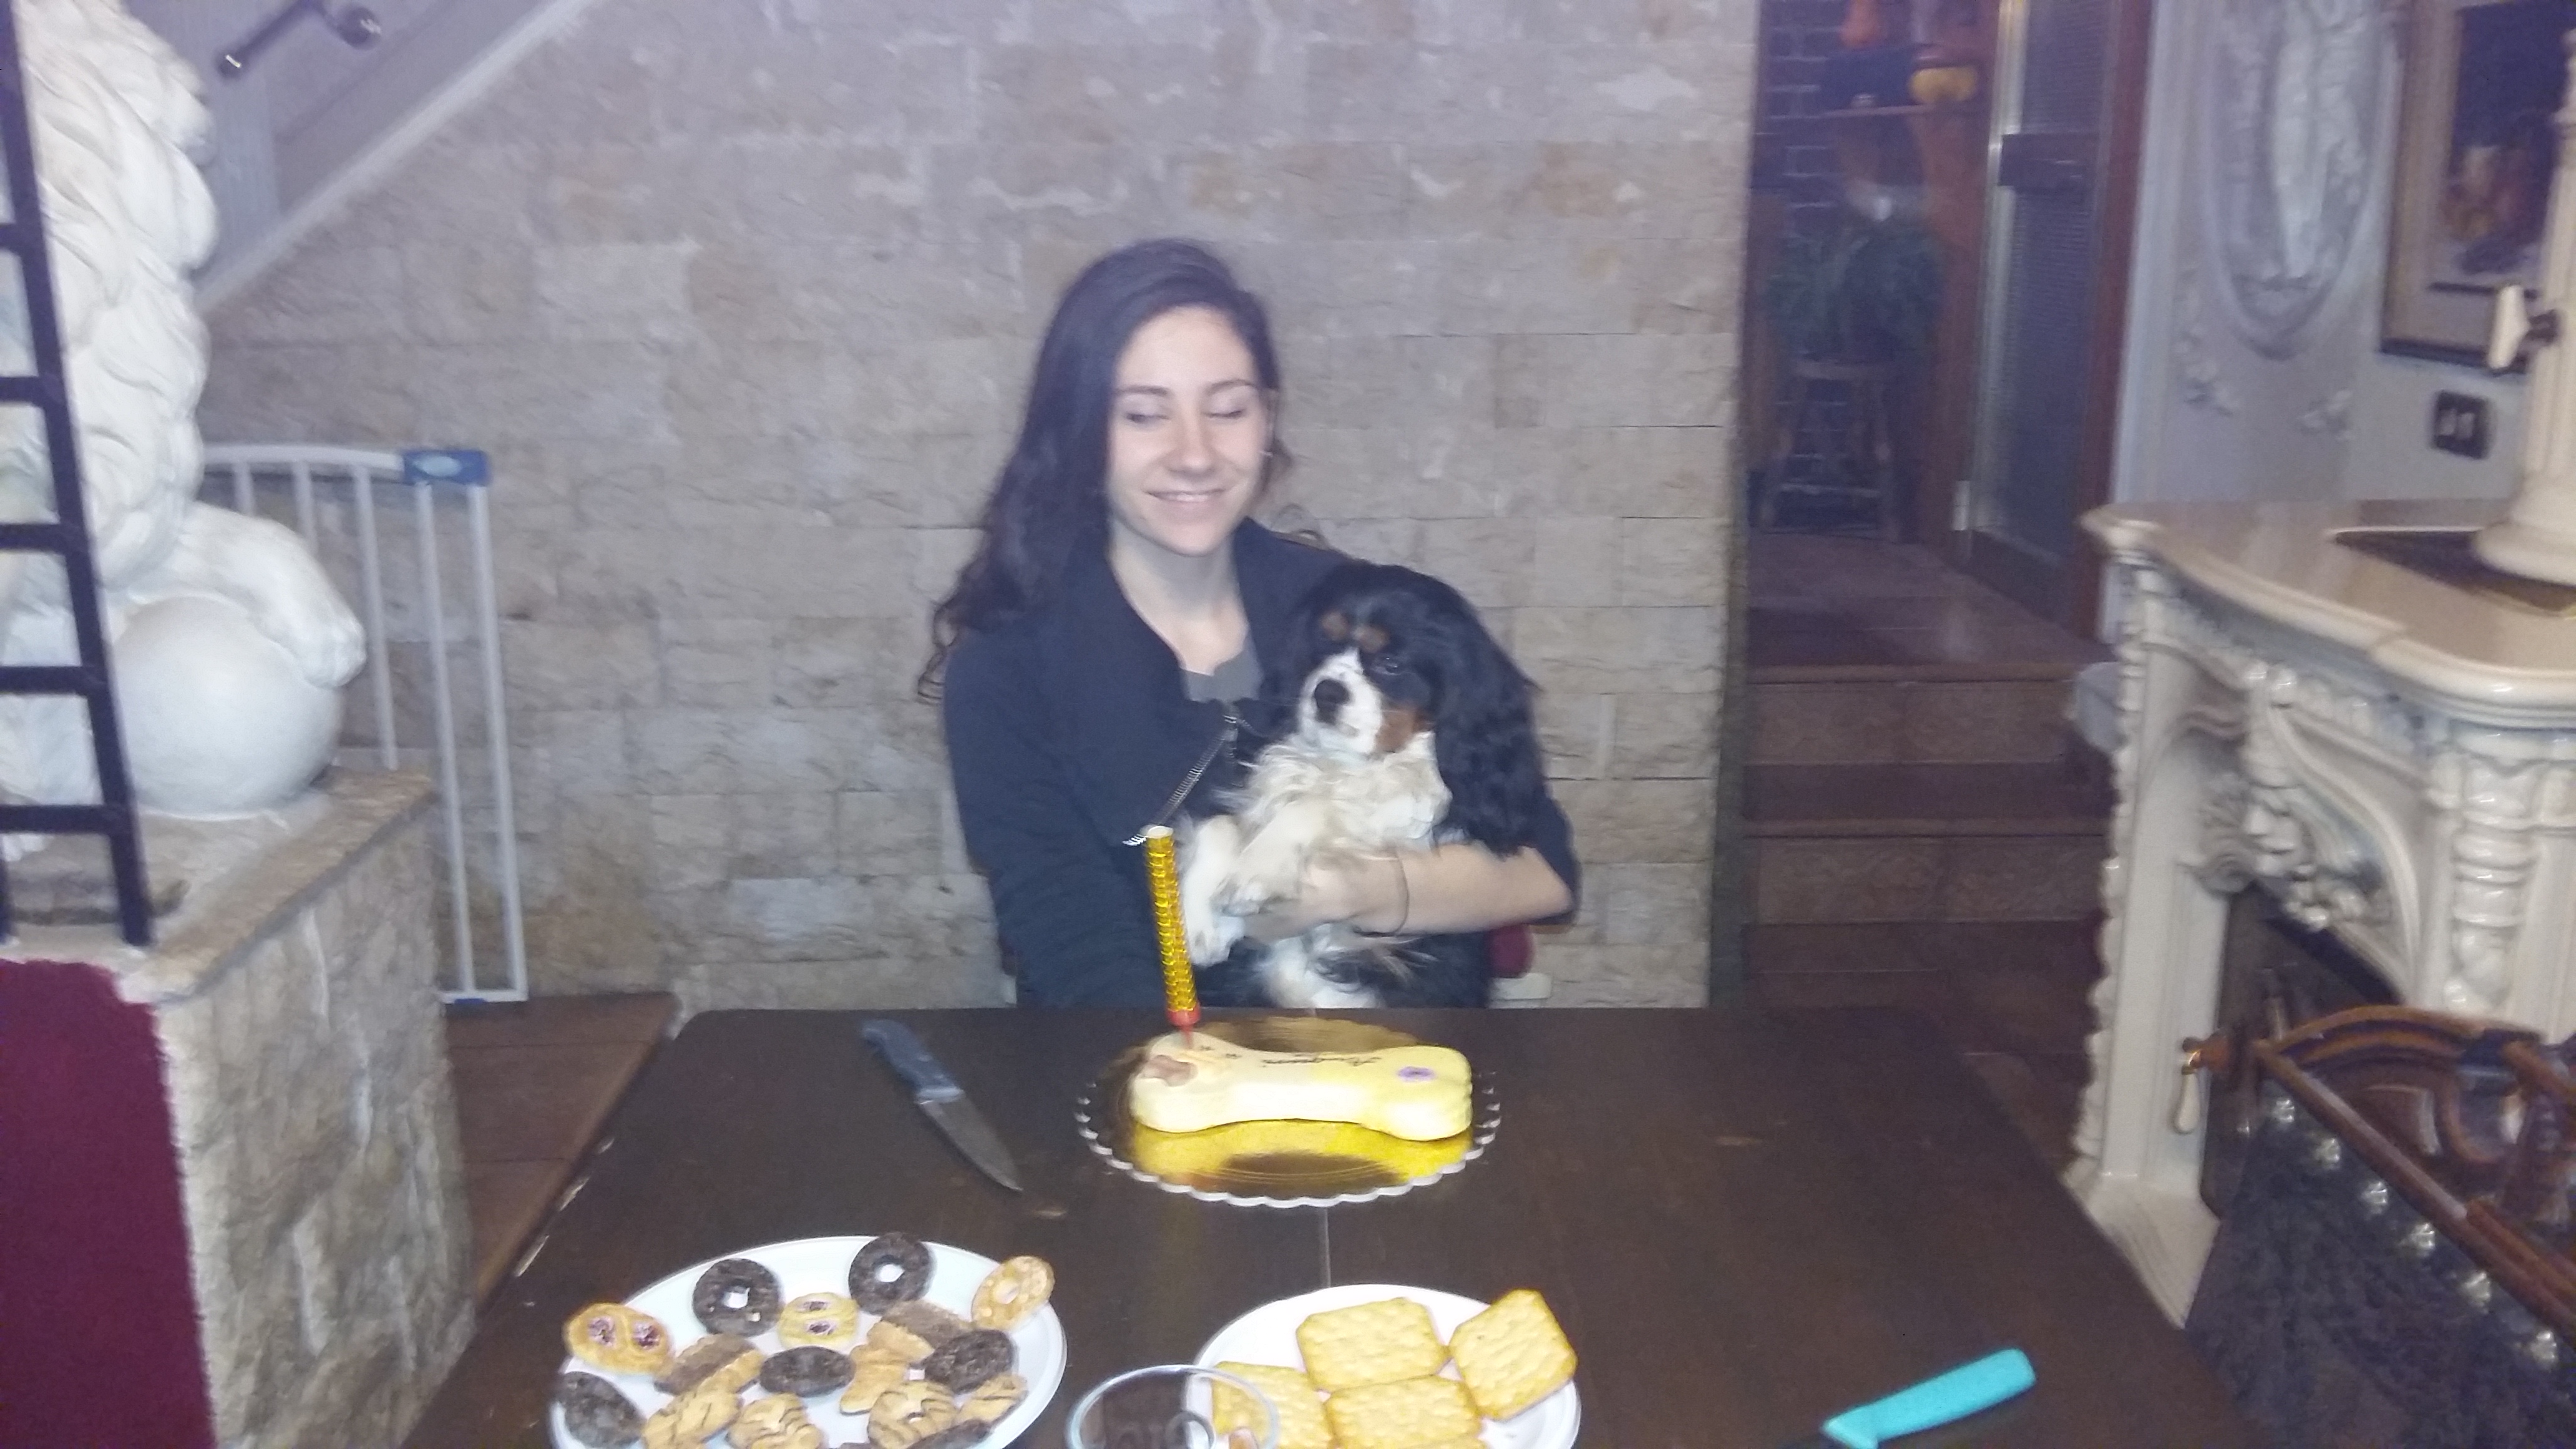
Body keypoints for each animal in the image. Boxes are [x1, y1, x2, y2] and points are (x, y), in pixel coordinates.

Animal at [1178, 560, 1553, 1007]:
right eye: (1323, 645)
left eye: (1391, 663)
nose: (1326, 692)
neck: (1347, 765)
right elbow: (1221, 823)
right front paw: (1199, 920)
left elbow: (1319, 805)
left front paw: (1258, 870)